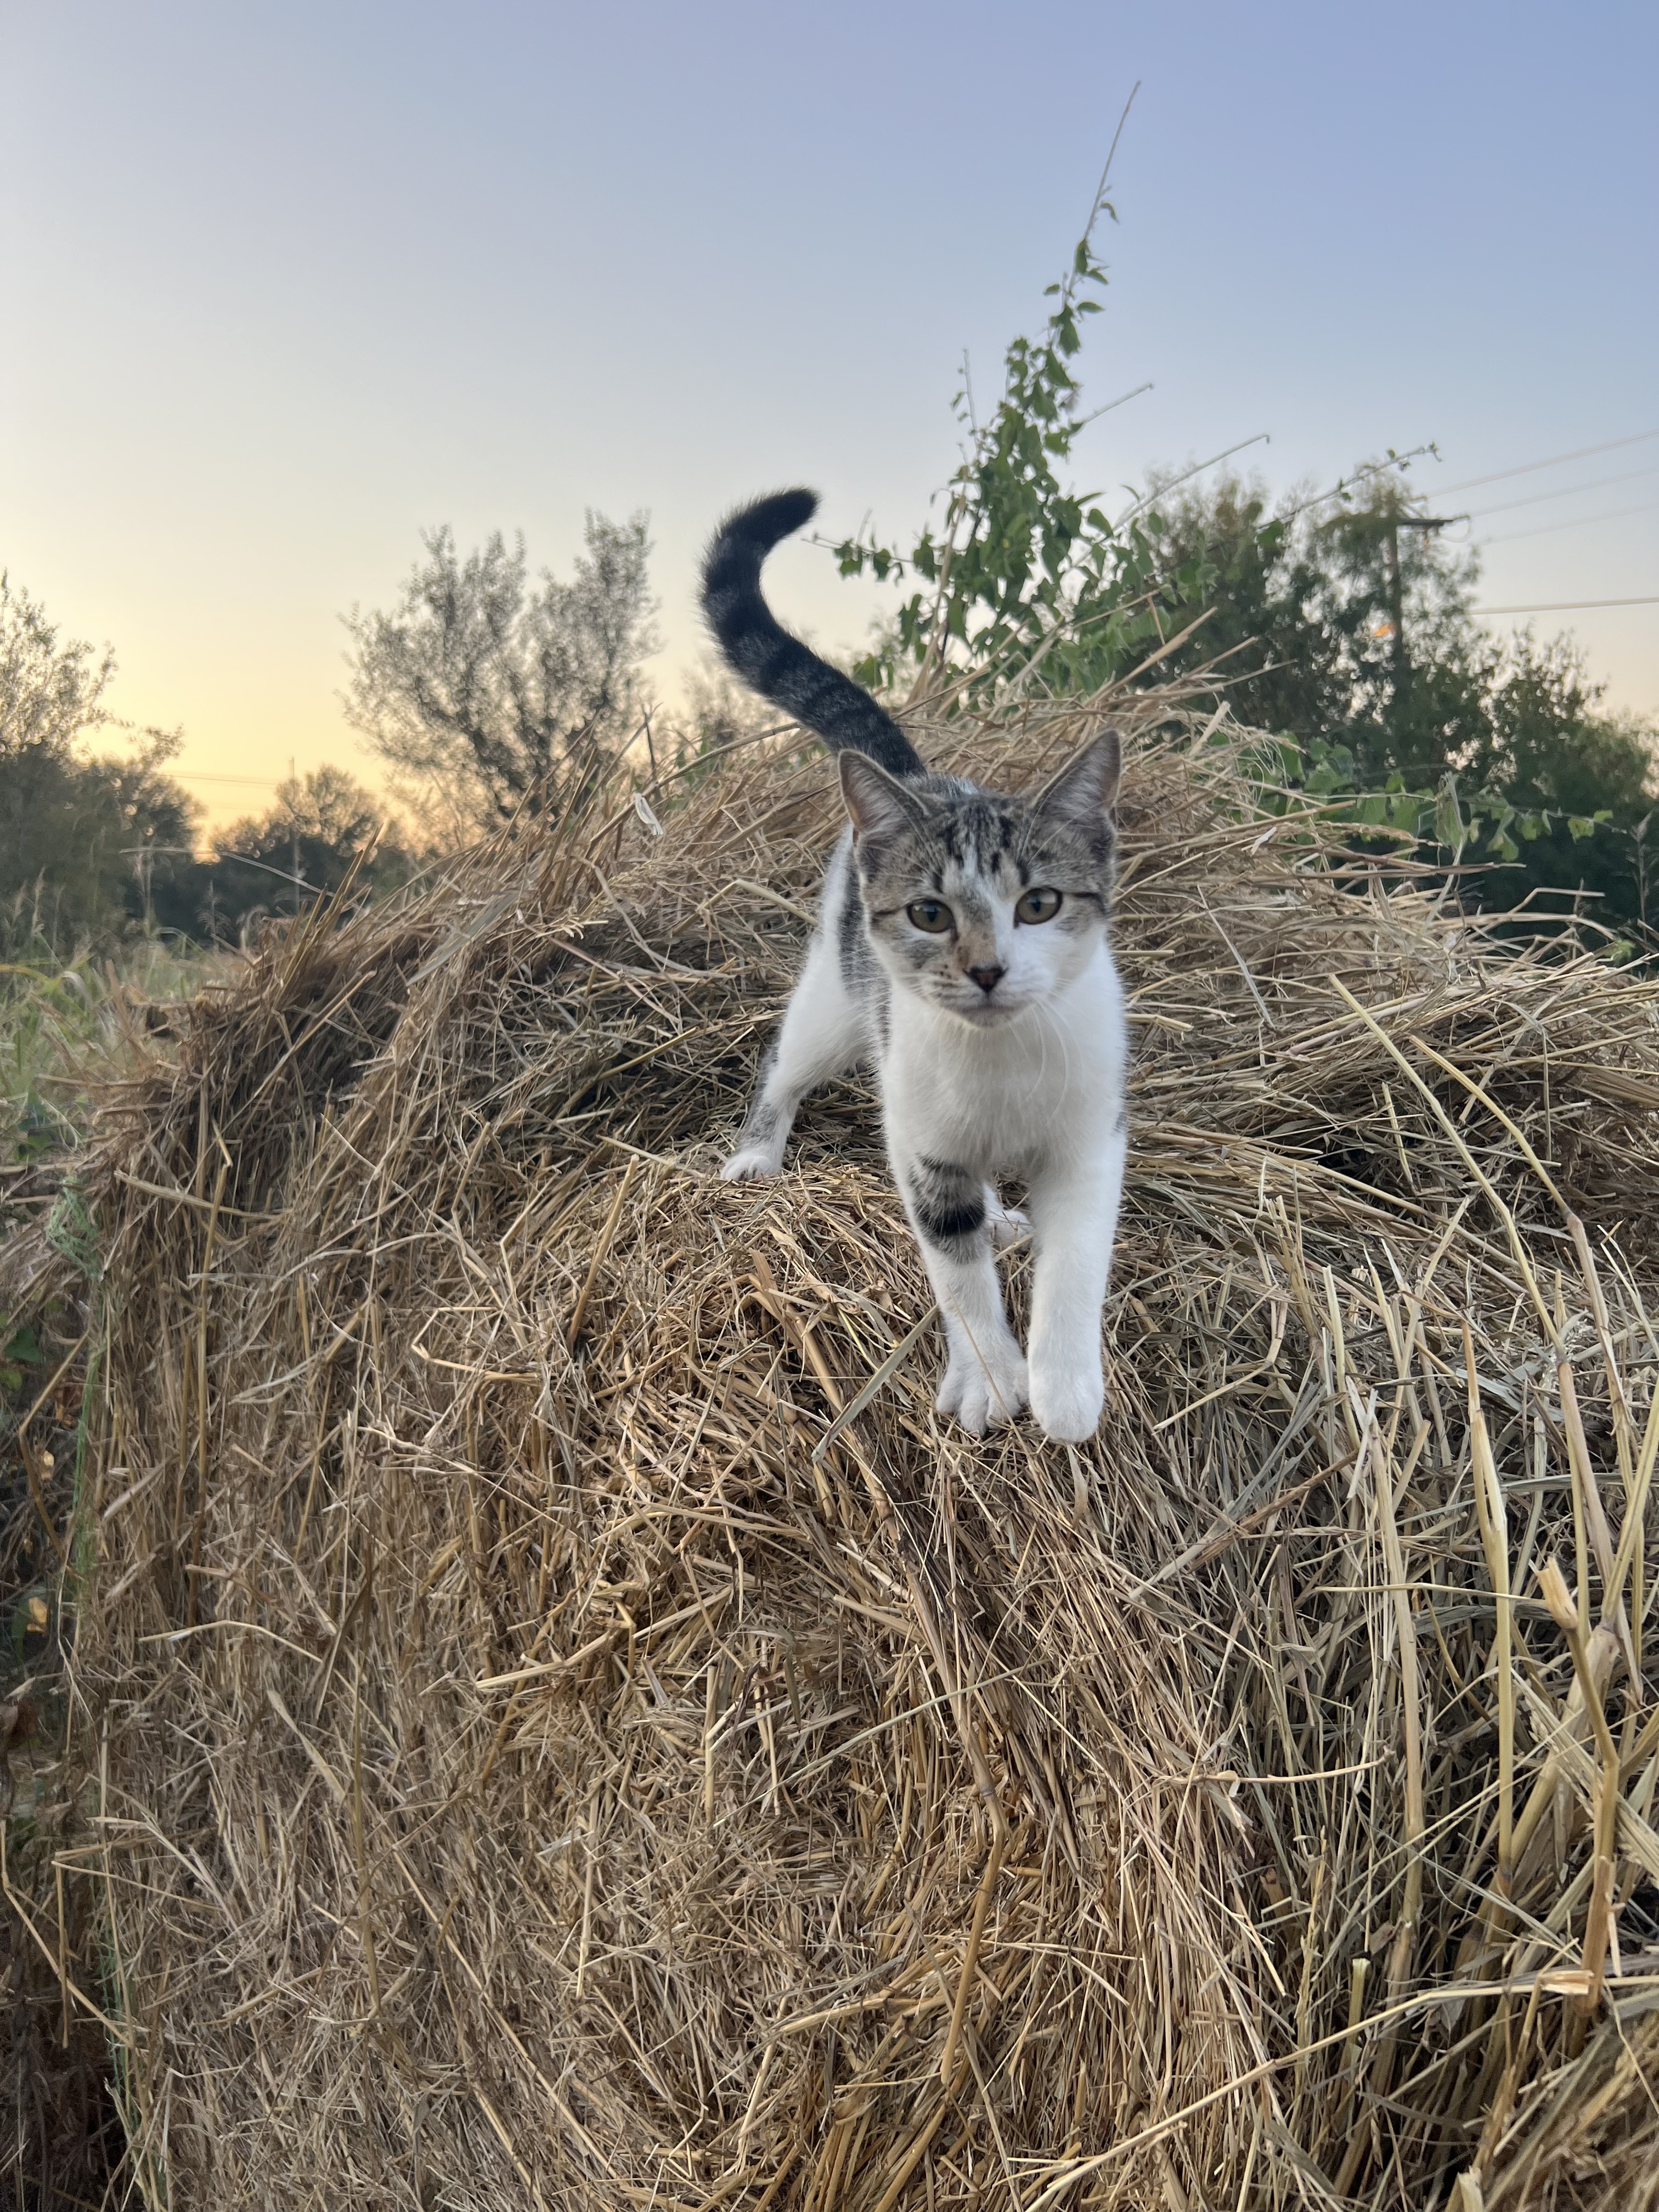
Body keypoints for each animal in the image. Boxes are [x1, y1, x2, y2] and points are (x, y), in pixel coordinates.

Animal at [703, 489, 1128, 1444]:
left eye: (1039, 904)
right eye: (931, 914)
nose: (988, 971)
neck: (1001, 1059)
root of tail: (922, 780)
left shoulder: (1092, 1136)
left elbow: (1077, 1257)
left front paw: (1065, 1385)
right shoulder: (922, 1145)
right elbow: (955, 1268)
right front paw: (990, 1377)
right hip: (838, 1002)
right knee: (783, 1061)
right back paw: (757, 1154)